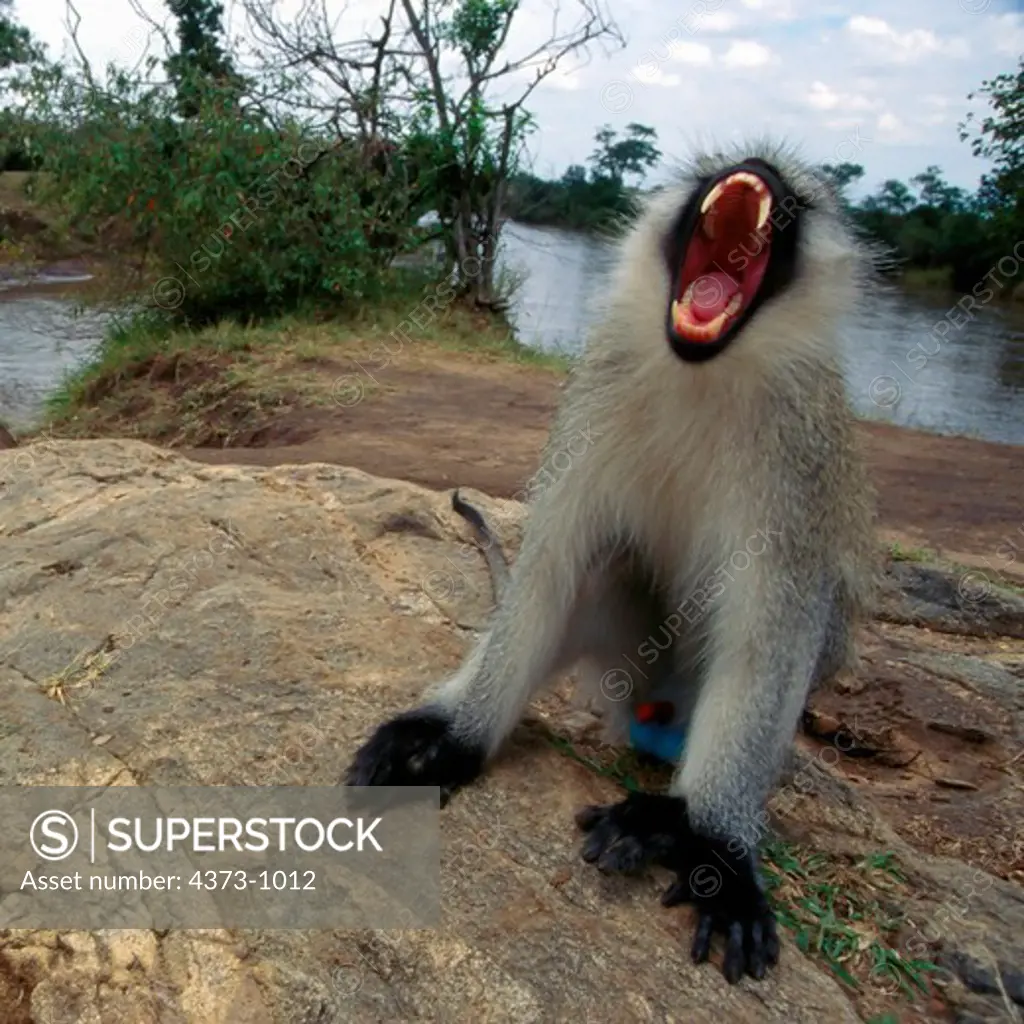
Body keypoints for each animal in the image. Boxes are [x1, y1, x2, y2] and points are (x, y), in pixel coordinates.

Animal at [348, 144, 876, 983]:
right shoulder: (602, 384)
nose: (755, 167)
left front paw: (717, 852)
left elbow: (768, 643)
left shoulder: (801, 455)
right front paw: (457, 741)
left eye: (794, 199)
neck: (702, 369)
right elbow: (549, 569)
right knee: (594, 568)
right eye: (721, 170)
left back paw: (671, 822)